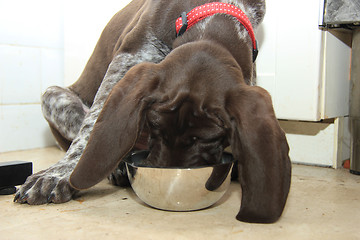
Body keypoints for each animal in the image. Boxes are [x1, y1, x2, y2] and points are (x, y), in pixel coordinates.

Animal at [14, 0, 292, 224]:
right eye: (154, 125)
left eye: (210, 138)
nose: (169, 177)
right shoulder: (128, 59)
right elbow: (91, 126)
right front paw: (59, 175)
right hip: (53, 95)